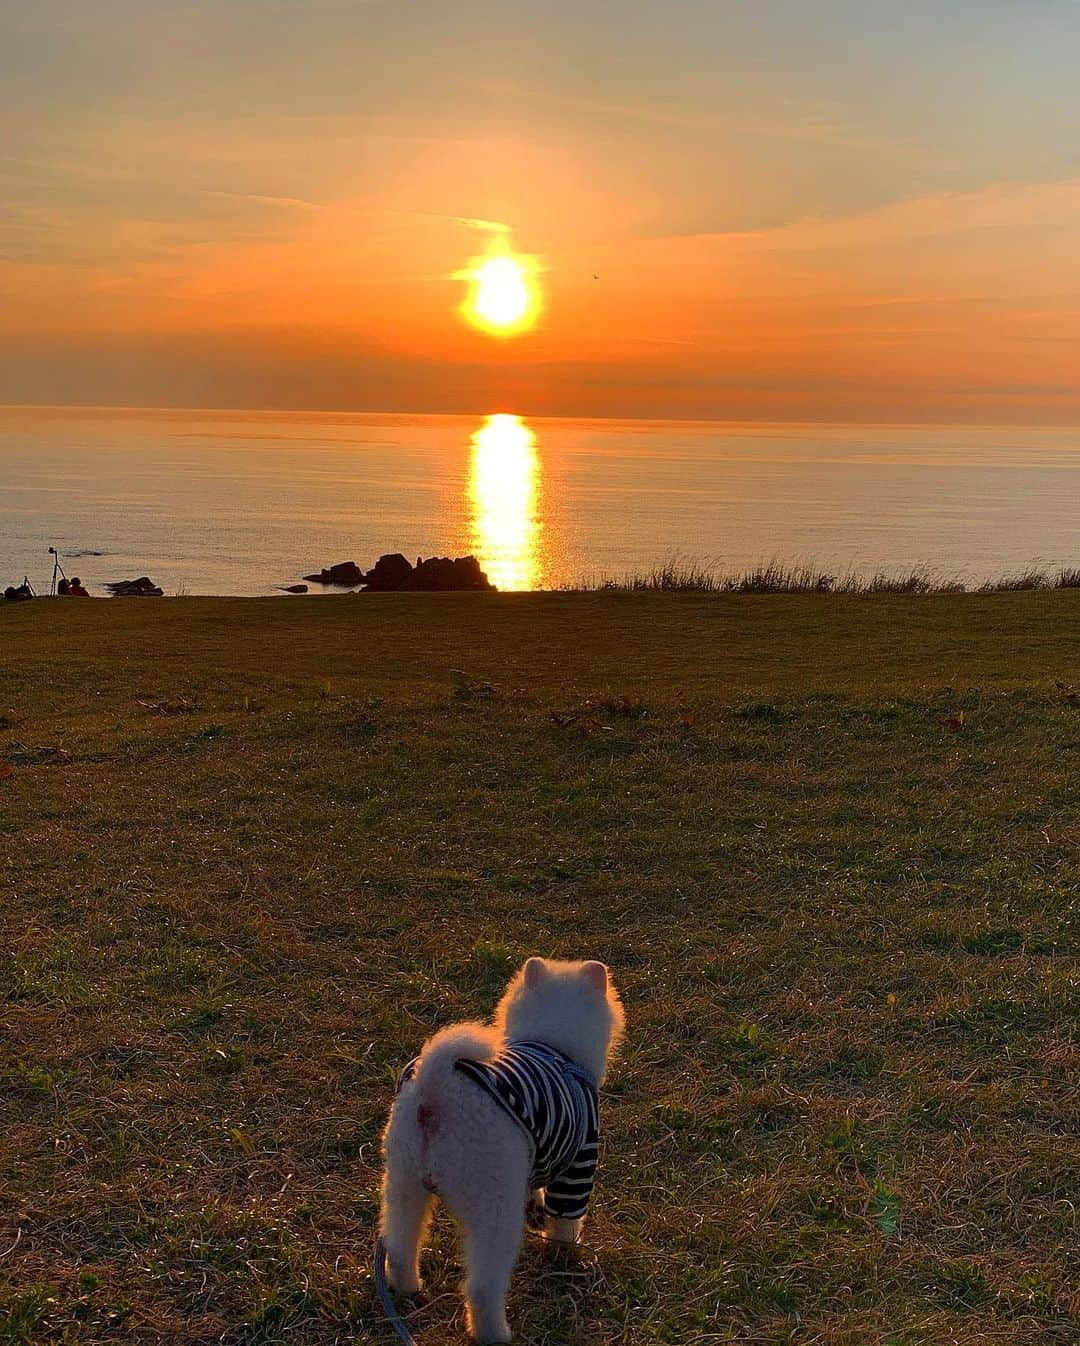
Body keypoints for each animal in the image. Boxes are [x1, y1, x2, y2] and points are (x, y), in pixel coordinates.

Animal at [379, 958, 622, 1335]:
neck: (551, 1045)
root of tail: (437, 1088)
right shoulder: (578, 1166)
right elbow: (565, 1222)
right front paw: (565, 1253)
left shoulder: (538, 1155)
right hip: (494, 1208)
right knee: (481, 1288)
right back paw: (495, 1334)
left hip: (403, 1182)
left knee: (400, 1247)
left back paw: (407, 1289)